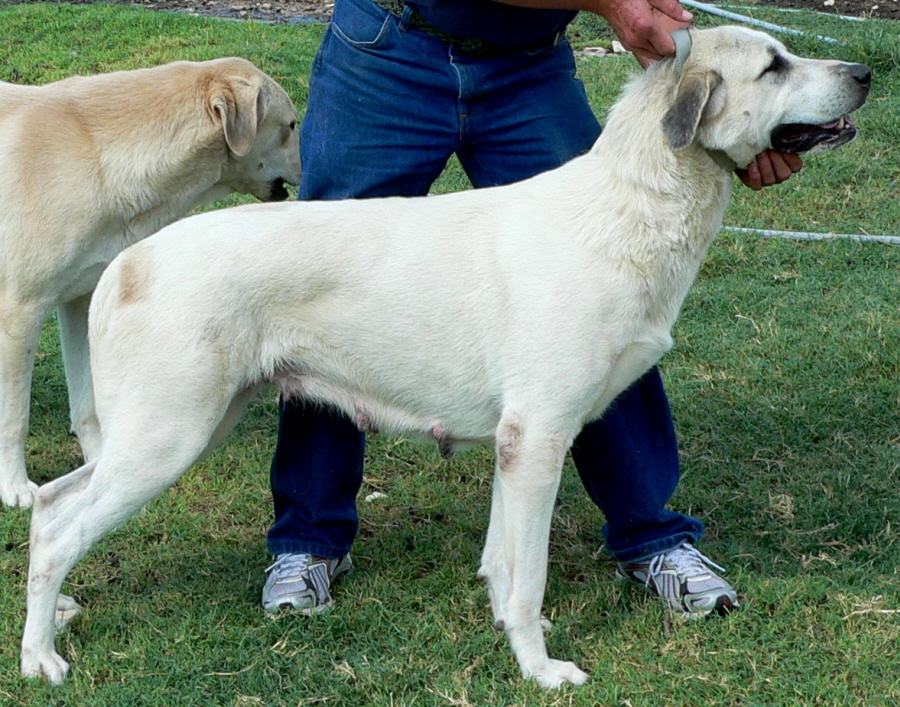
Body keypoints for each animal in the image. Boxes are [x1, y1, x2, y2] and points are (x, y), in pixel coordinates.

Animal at [0, 58, 302, 506]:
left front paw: (98, 465)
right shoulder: (20, 312)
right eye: (292, 125)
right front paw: (15, 486)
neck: (95, 152)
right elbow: (14, 416)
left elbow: (87, 403)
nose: (311, 164)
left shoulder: (80, 300)